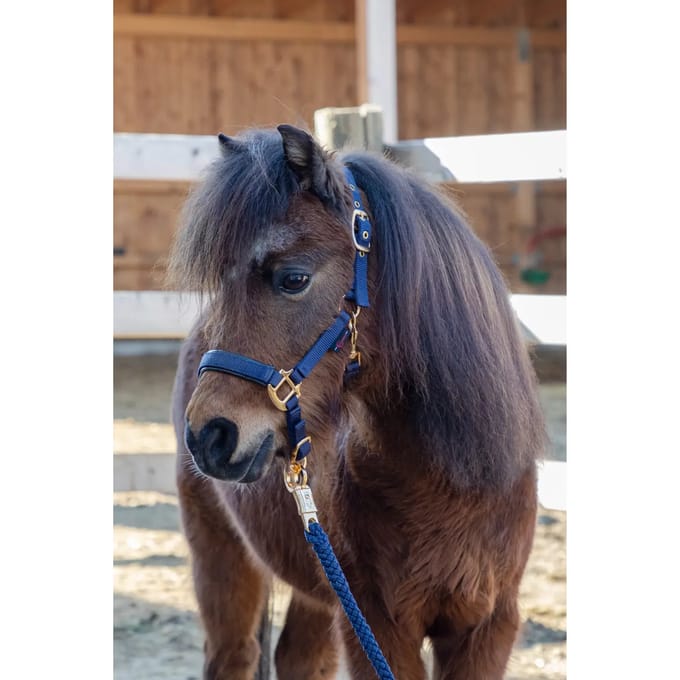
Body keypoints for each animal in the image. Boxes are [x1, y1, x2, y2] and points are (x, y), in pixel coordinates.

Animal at [169, 124, 546, 679]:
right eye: (222, 282)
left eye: (294, 278)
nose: (210, 435)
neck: (450, 482)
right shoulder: (377, 625)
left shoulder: (487, 627)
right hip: (221, 556)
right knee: (232, 656)